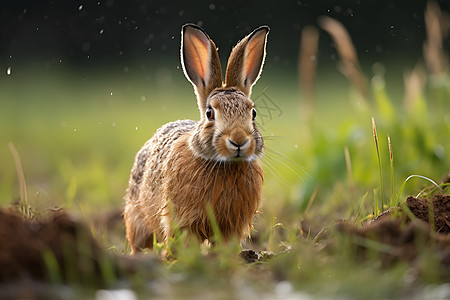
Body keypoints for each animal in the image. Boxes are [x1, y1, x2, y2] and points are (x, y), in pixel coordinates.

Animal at [123, 24, 268, 253]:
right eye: (210, 113)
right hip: (137, 218)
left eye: (253, 113)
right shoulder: (183, 221)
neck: (224, 164)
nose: (238, 140)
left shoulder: (232, 226)